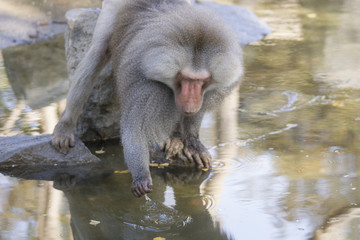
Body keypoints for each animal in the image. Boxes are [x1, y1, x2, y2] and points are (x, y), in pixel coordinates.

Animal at [52, 0, 243, 198]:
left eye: (201, 81)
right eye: (185, 79)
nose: (191, 103)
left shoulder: (210, 90)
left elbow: (196, 113)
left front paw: (191, 141)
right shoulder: (146, 86)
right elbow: (135, 130)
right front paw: (141, 177)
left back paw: (174, 139)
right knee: (96, 54)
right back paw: (65, 127)